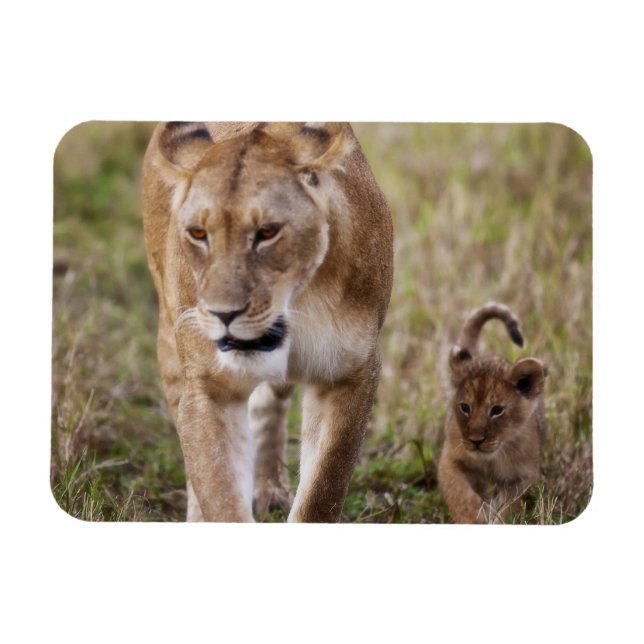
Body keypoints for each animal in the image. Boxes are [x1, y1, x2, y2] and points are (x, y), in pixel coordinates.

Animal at [141, 122, 393, 522]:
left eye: (268, 232)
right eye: (198, 233)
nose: (223, 314)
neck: (299, 303)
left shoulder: (350, 372)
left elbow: (324, 488)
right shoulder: (209, 386)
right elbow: (218, 492)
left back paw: (269, 489)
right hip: (170, 337)